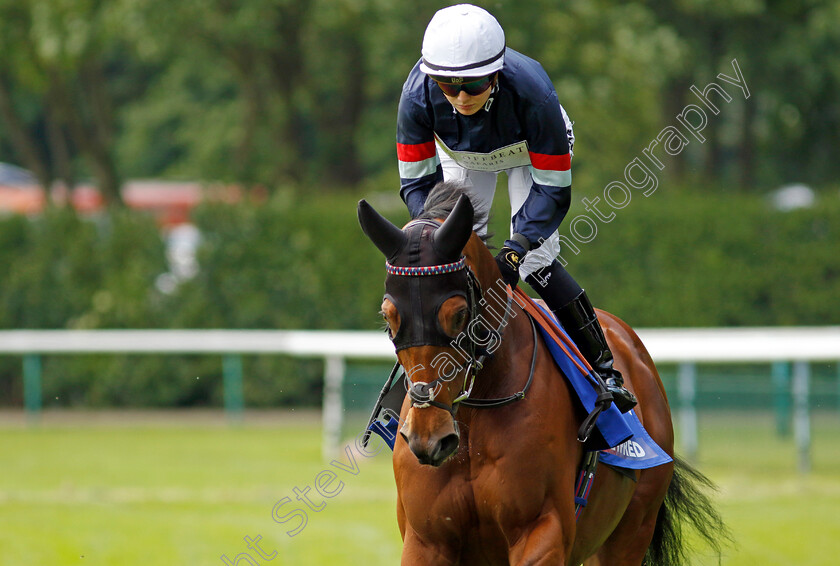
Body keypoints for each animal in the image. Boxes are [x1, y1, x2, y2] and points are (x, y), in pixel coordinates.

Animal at [358, 184, 724, 564]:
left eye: (458, 314)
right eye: (388, 317)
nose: (428, 438)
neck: (474, 415)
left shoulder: (542, 529)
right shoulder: (426, 540)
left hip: (632, 529)